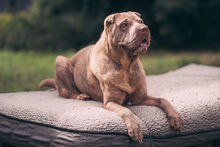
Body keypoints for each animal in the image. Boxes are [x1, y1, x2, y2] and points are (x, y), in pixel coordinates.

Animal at [40, 11, 184, 144]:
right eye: (124, 24)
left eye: (141, 21)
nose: (144, 29)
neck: (126, 66)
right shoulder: (111, 102)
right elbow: (126, 111)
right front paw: (135, 129)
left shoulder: (140, 98)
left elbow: (163, 100)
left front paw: (175, 118)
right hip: (61, 60)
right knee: (67, 92)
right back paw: (81, 95)